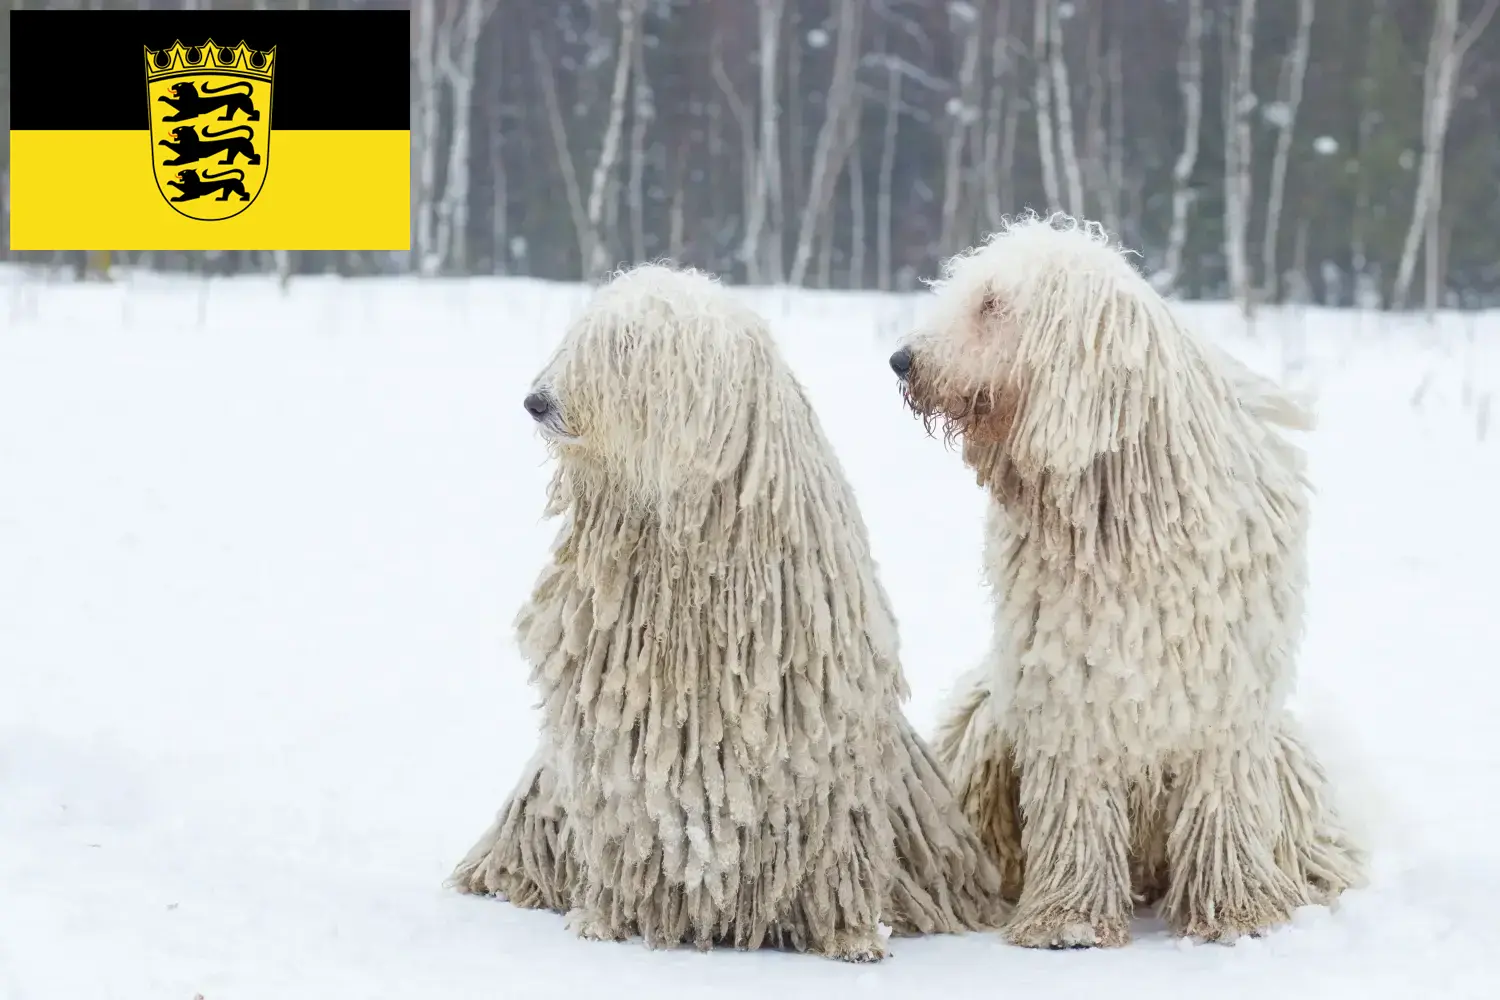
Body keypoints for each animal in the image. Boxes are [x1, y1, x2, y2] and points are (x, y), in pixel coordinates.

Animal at [888, 215, 1374, 953]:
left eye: (992, 305)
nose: (903, 360)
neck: (1121, 503)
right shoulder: (1066, 687)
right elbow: (1077, 800)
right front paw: (1070, 921)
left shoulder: (1225, 694)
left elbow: (1221, 797)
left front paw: (1234, 914)